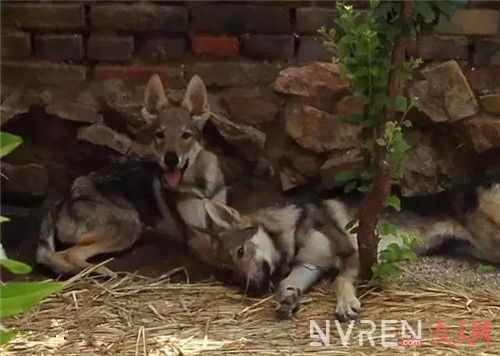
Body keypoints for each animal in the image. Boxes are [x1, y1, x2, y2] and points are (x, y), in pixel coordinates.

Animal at [36, 73, 227, 278]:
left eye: (186, 135)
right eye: (160, 135)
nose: (170, 159)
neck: (201, 189)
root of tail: (66, 197)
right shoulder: (194, 238)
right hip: (128, 227)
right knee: (65, 255)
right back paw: (99, 271)